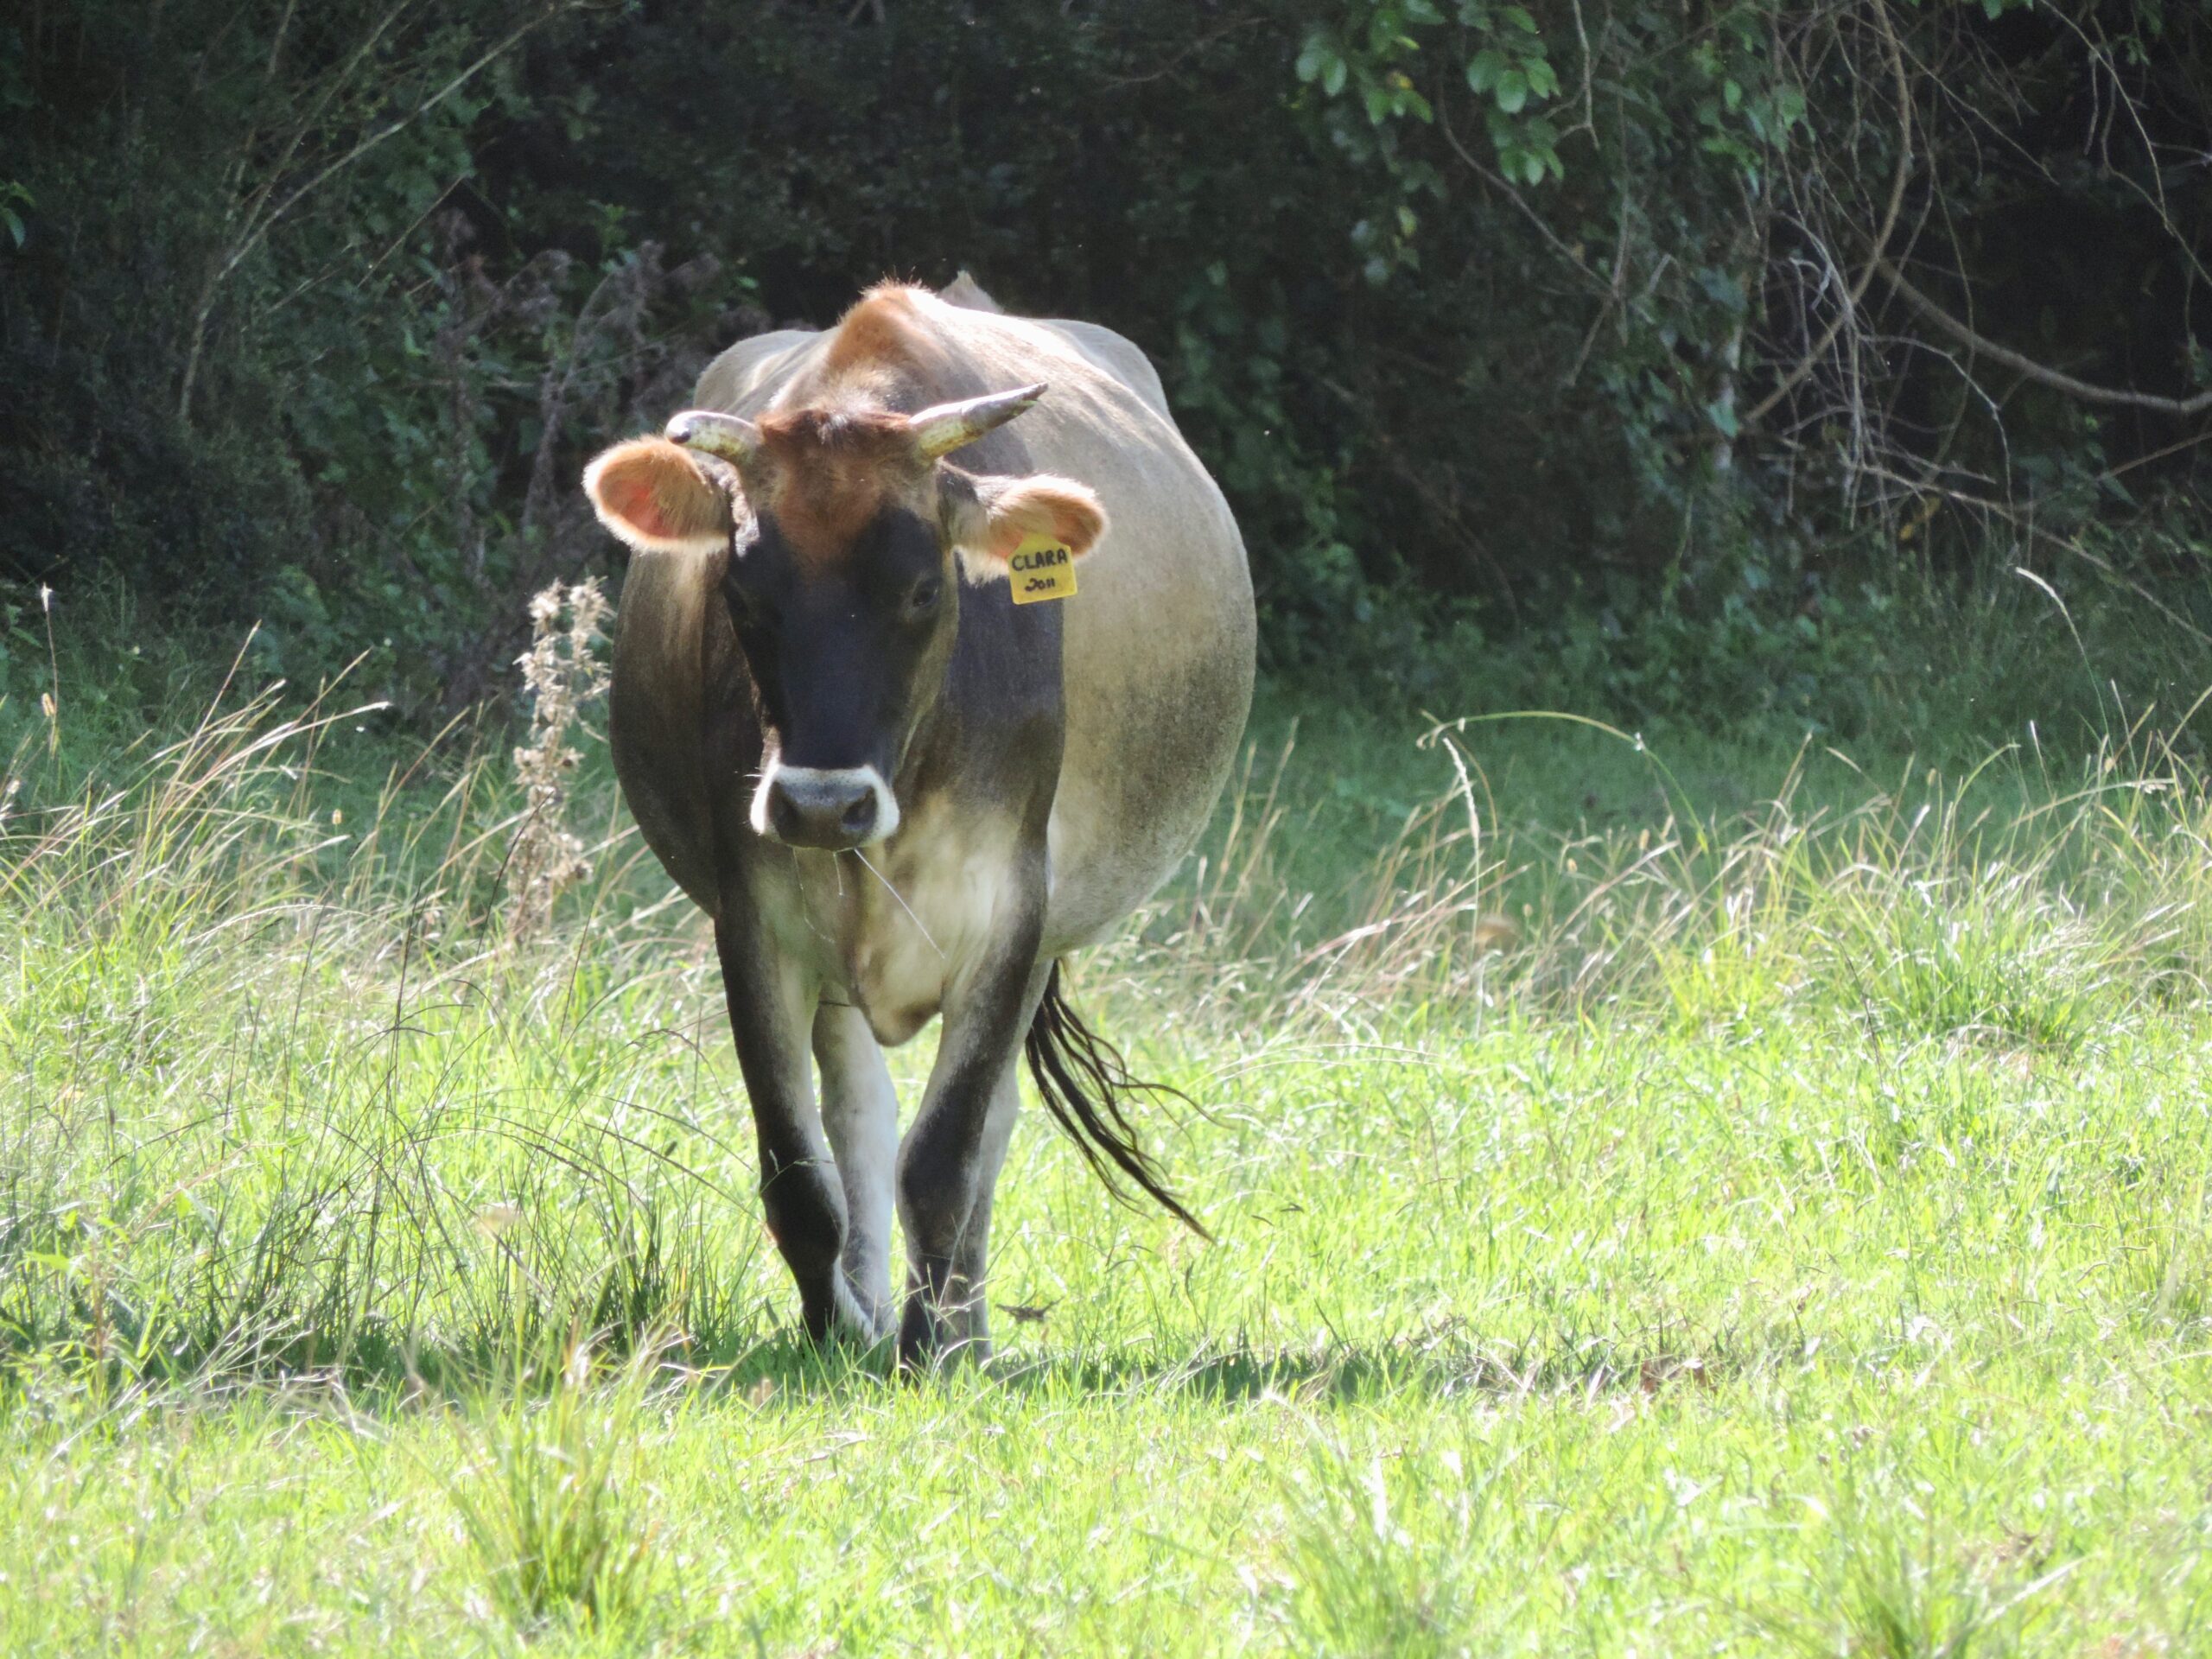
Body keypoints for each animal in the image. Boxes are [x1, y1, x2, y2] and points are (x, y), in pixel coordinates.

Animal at [579, 276, 1256, 1362]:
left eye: (924, 589)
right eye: (741, 592)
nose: (823, 802)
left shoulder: (1009, 913)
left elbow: (947, 1154)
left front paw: (932, 1347)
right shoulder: (753, 920)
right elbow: (799, 1172)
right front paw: (836, 1335)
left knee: (988, 1127)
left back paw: (965, 1330)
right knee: (858, 1116)